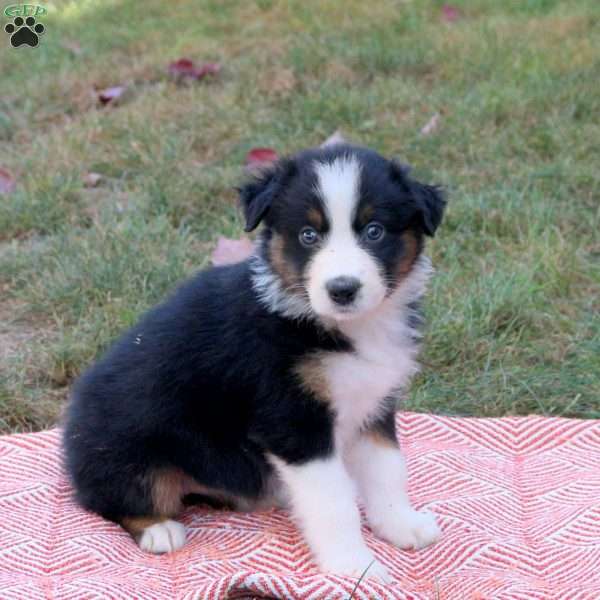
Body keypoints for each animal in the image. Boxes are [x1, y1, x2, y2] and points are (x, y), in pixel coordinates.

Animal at [63, 142, 446, 580]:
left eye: (374, 231)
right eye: (308, 235)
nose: (342, 289)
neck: (341, 327)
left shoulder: (374, 404)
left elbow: (387, 471)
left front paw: (401, 524)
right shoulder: (292, 422)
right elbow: (333, 502)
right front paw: (353, 566)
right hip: (126, 446)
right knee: (107, 499)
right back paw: (159, 529)